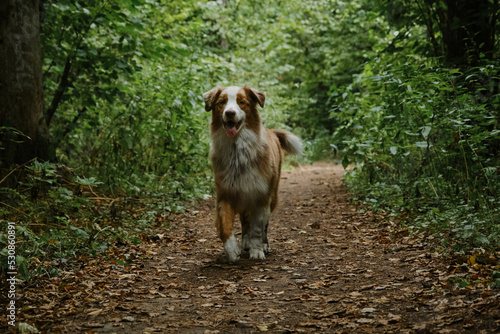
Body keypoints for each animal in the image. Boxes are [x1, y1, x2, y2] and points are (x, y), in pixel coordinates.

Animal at [202, 85, 302, 262]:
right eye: (222, 102)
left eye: (242, 102)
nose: (230, 113)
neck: (237, 151)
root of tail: (271, 131)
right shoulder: (226, 194)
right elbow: (225, 224)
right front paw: (232, 249)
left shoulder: (260, 196)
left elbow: (257, 227)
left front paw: (257, 250)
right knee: (244, 221)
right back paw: (245, 242)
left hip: (272, 196)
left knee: (264, 225)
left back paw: (263, 244)